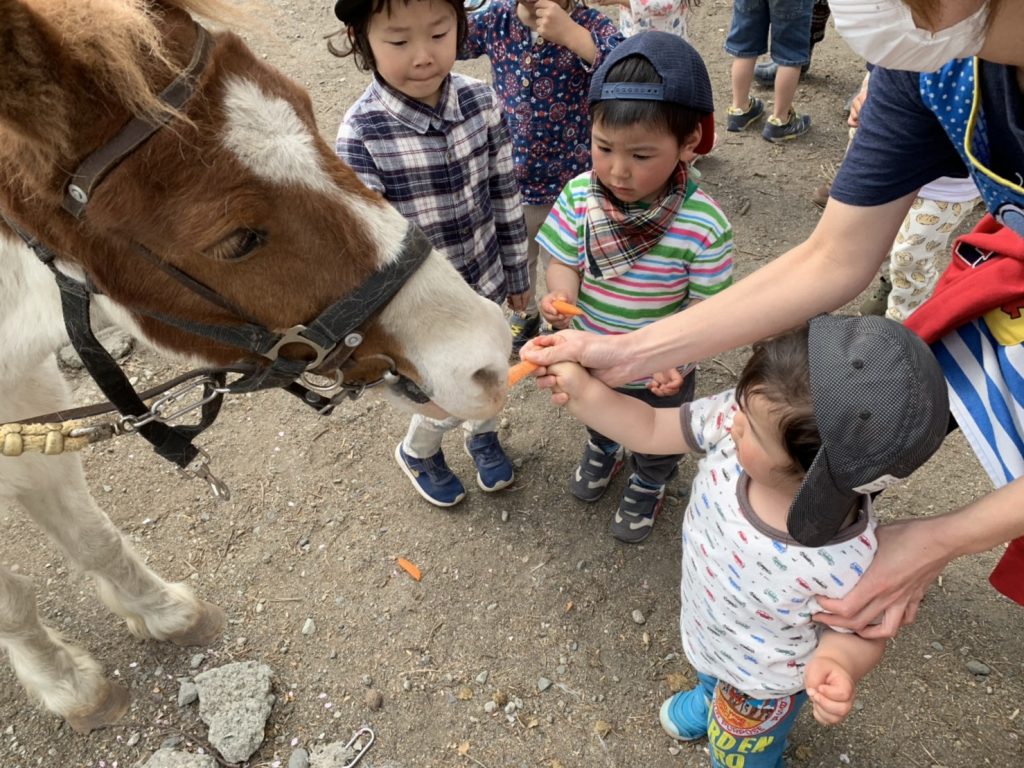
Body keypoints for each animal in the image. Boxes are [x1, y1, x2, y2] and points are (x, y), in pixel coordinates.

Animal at [0, 0, 512, 733]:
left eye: (305, 106)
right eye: (237, 240)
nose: (487, 355)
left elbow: (92, 536)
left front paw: (161, 613)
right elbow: (13, 598)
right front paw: (68, 685)